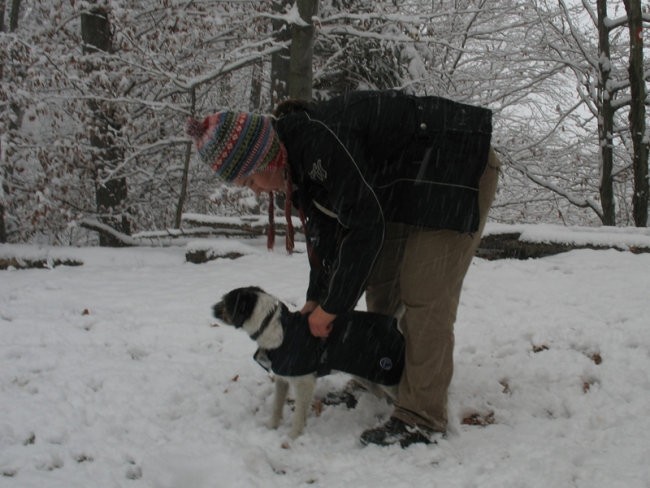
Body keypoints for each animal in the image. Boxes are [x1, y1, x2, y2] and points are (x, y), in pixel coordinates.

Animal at [213, 288, 402, 440]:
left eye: (226, 302)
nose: (211, 308)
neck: (273, 326)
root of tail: (395, 325)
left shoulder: (305, 383)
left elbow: (299, 414)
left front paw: (292, 437)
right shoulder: (282, 379)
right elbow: (277, 405)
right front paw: (272, 426)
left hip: (388, 376)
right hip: (367, 375)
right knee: (381, 396)